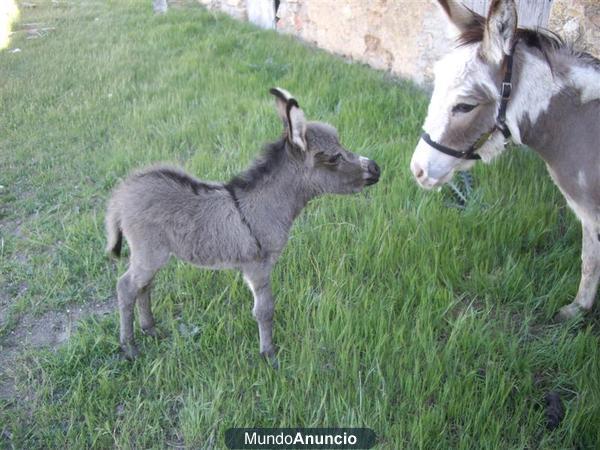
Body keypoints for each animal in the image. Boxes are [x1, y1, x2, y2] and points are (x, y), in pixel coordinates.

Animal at [105, 89, 380, 360]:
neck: (266, 204)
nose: (376, 168)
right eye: (333, 158)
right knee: (126, 287)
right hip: (149, 251)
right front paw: (269, 355)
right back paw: (130, 348)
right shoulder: (258, 266)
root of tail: (122, 194)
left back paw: (150, 329)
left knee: (143, 286)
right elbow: (265, 310)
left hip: (153, 255)